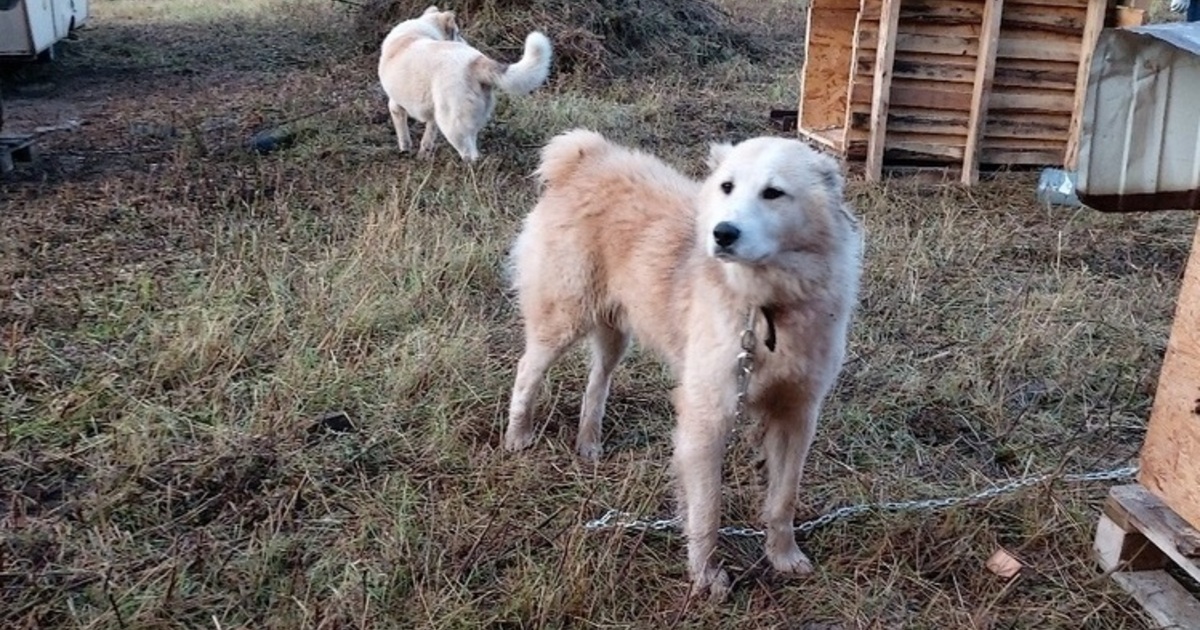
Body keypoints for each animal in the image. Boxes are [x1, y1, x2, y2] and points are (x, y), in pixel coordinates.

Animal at [374, 6, 552, 160]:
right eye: (458, 33)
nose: (467, 42)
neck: (416, 32)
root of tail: (476, 61)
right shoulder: (433, 116)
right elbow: (428, 136)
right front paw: (423, 154)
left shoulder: (395, 106)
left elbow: (403, 133)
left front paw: (405, 149)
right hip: (463, 122)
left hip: (452, 126)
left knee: (469, 155)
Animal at [499, 130, 864, 597]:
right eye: (727, 187)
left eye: (773, 193)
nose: (722, 233)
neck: (764, 307)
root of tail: (586, 156)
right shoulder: (707, 419)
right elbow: (707, 509)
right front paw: (707, 577)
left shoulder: (796, 415)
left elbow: (783, 499)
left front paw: (783, 556)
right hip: (562, 322)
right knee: (527, 372)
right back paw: (518, 435)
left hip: (615, 334)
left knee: (597, 382)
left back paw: (589, 442)